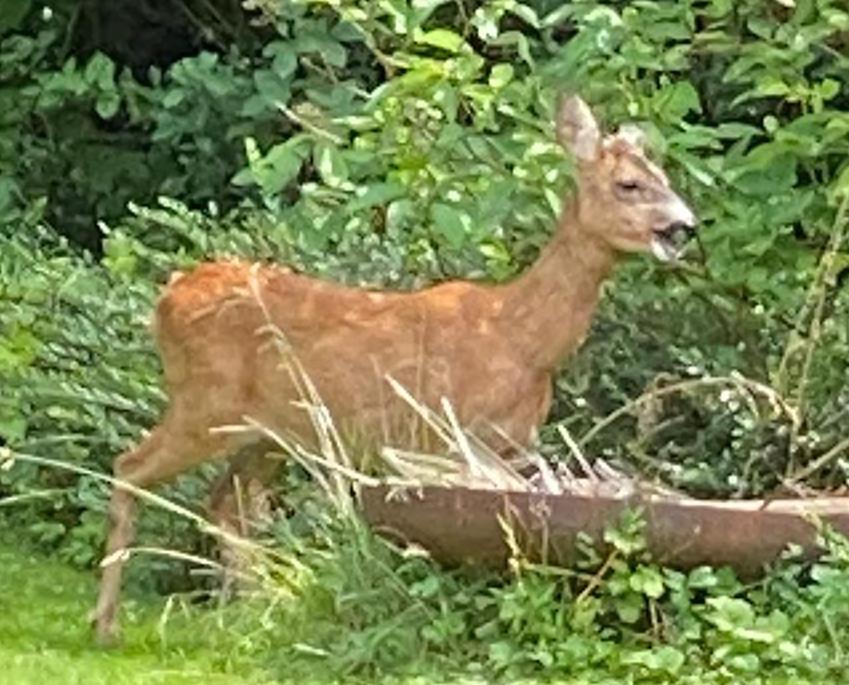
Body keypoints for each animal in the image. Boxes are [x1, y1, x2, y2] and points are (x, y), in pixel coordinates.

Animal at [93, 96, 696, 640]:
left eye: (664, 177)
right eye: (629, 185)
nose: (683, 228)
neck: (523, 340)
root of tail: (166, 298)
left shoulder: (509, 447)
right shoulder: (453, 437)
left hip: (271, 434)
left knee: (226, 502)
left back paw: (246, 616)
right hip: (204, 403)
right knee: (129, 467)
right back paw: (108, 624)